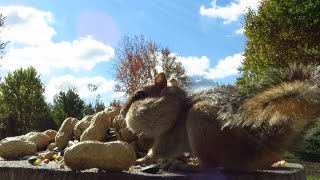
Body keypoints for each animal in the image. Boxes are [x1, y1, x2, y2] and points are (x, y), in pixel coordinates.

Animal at [120, 64, 320, 171]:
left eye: (139, 95)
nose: (121, 113)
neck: (177, 108)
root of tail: (255, 153)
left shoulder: (172, 134)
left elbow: (159, 151)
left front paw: (141, 160)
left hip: (200, 120)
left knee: (211, 165)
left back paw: (187, 166)